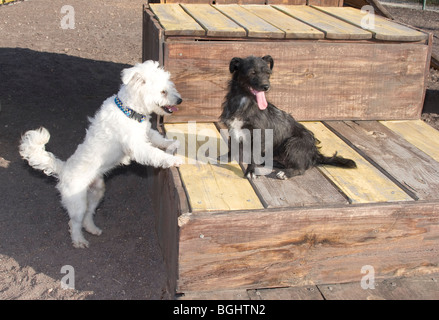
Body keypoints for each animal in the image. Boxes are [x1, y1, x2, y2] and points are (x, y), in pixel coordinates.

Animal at [18, 61, 182, 249]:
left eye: (170, 86)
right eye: (163, 91)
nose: (180, 100)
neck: (130, 111)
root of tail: (63, 169)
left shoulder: (146, 133)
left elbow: (159, 140)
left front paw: (171, 144)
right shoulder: (138, 147)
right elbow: (156, 153)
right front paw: (172, 159)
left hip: (97, 192)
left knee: (88, 215)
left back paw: (92, 229)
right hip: (77, 202)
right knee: (74, 222)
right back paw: (79, 240)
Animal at [220, 55, 358, 180]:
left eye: (268, 73)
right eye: (252, 72)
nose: (266, 87)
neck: (244, 102)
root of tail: (315, 153)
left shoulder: (259, 135)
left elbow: (253, 155)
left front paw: (251, 171)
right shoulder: (233, 129)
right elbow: (232, 146)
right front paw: (227, 157)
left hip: (293, 143)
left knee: (301, 168)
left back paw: (286, 173)